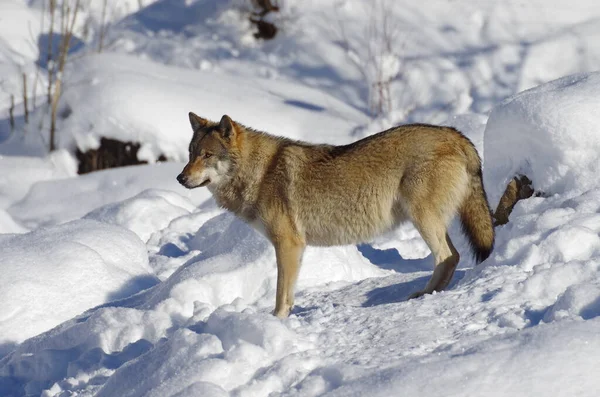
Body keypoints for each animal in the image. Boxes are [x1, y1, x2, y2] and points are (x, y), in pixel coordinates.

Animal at [176, 113, 494, 318]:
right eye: (190, 154)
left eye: (206, 156)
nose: (180, 178)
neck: (261, 172)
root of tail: (456, 134)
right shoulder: (294, 248)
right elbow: (288, 292)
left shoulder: (288, 244)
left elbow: (281, 294)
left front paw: (275, 321)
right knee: (454, 256)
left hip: (423, 220)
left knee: (446, 257)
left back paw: (423, 295)